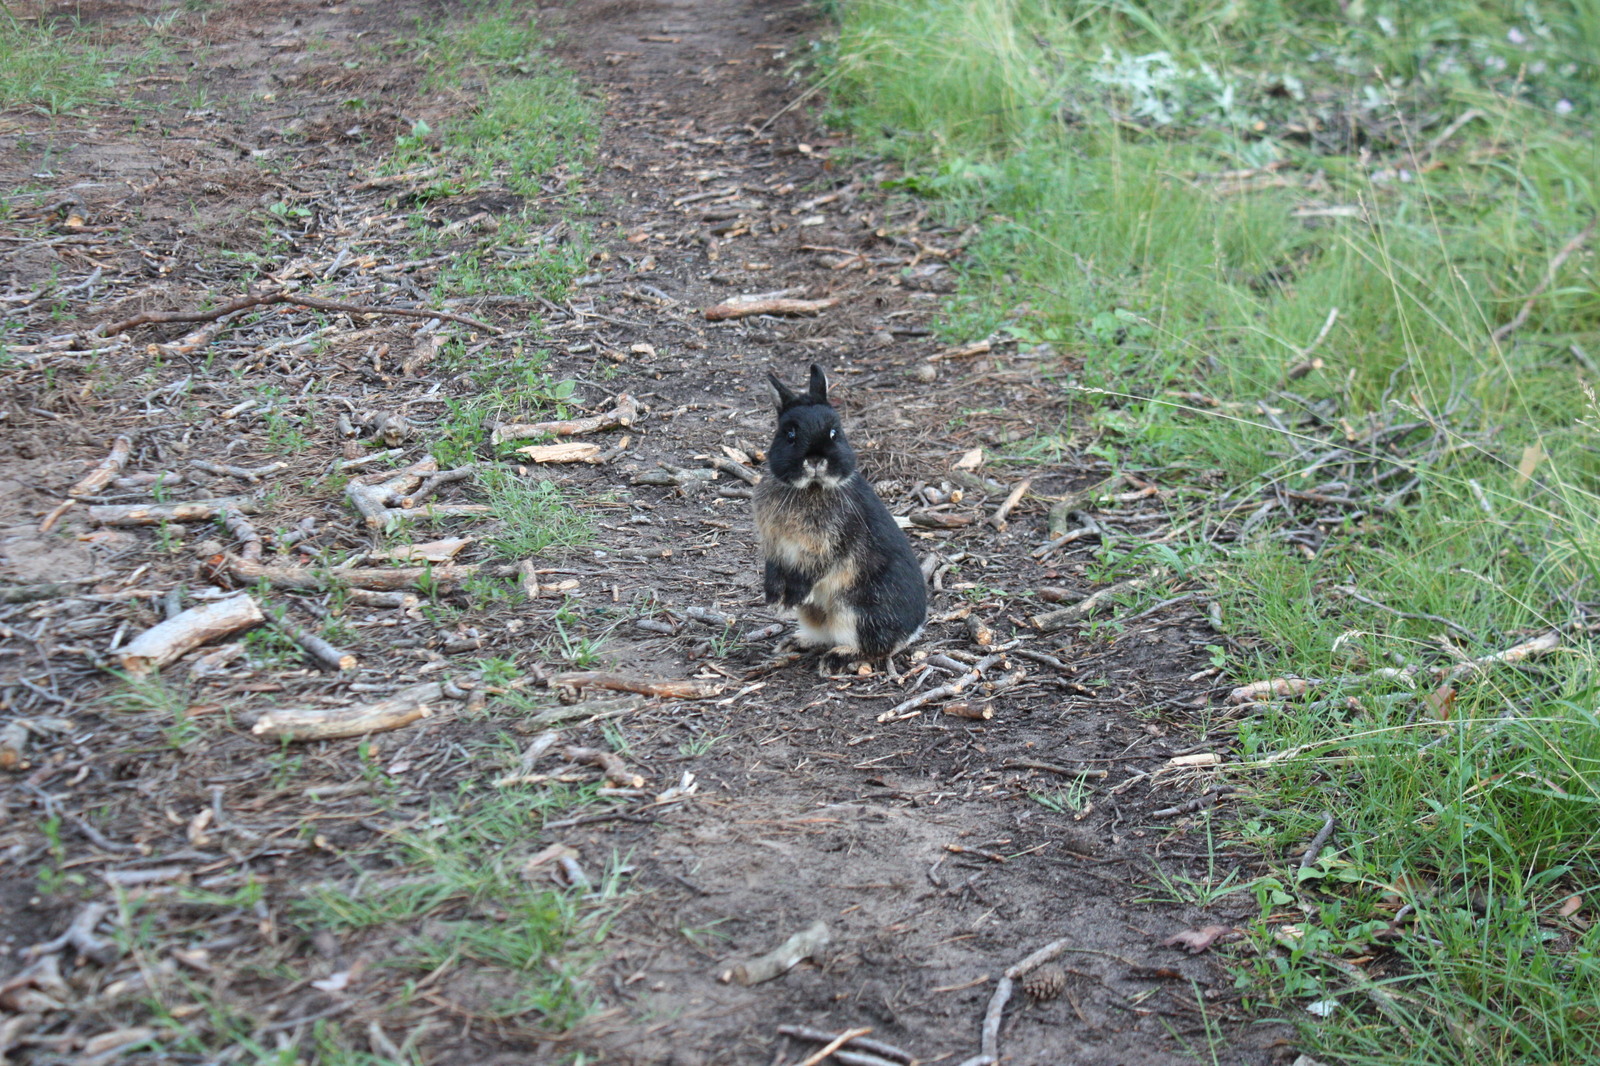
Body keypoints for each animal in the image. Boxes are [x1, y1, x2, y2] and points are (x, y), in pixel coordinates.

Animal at [748, 361, 928, 669]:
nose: (815, 459)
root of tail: (913, 629)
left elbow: (812, 572)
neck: (812, 488)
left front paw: (788, 600)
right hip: (818, 615)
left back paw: (838, 659)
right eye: (790, 435)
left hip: (855, 611)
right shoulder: (774, 545)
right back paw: (794, 643)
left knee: (875, 648)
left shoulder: (829, 546)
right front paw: (773, 598)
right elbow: (773, 568)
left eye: (835, 433)